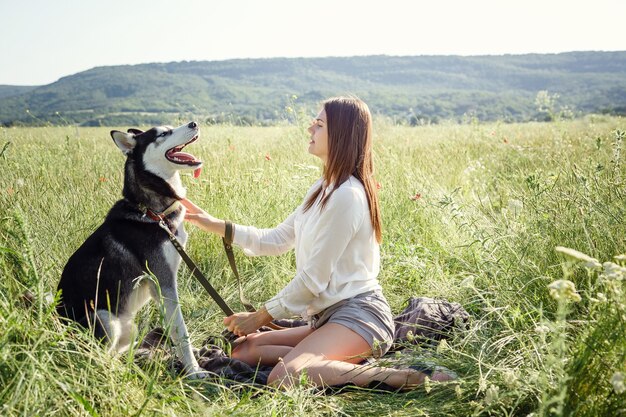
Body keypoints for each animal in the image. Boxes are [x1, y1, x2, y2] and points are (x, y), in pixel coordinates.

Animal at [57, 121, 206, 376]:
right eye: (163, 134)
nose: (193, 123)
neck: (152, 213)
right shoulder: (164, 281)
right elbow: (180, 330)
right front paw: (194, 371)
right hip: (103, 318)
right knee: (96, 360)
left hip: (129, 326)